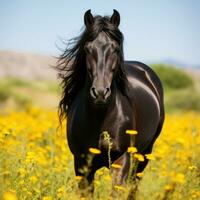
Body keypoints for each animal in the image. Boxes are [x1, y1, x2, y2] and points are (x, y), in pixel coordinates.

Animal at [56, 9, 164, 197]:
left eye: (115, 48)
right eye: (87, 48)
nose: (100, 93)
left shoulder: (121, 160)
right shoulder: (81, 164)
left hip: (144, 155)